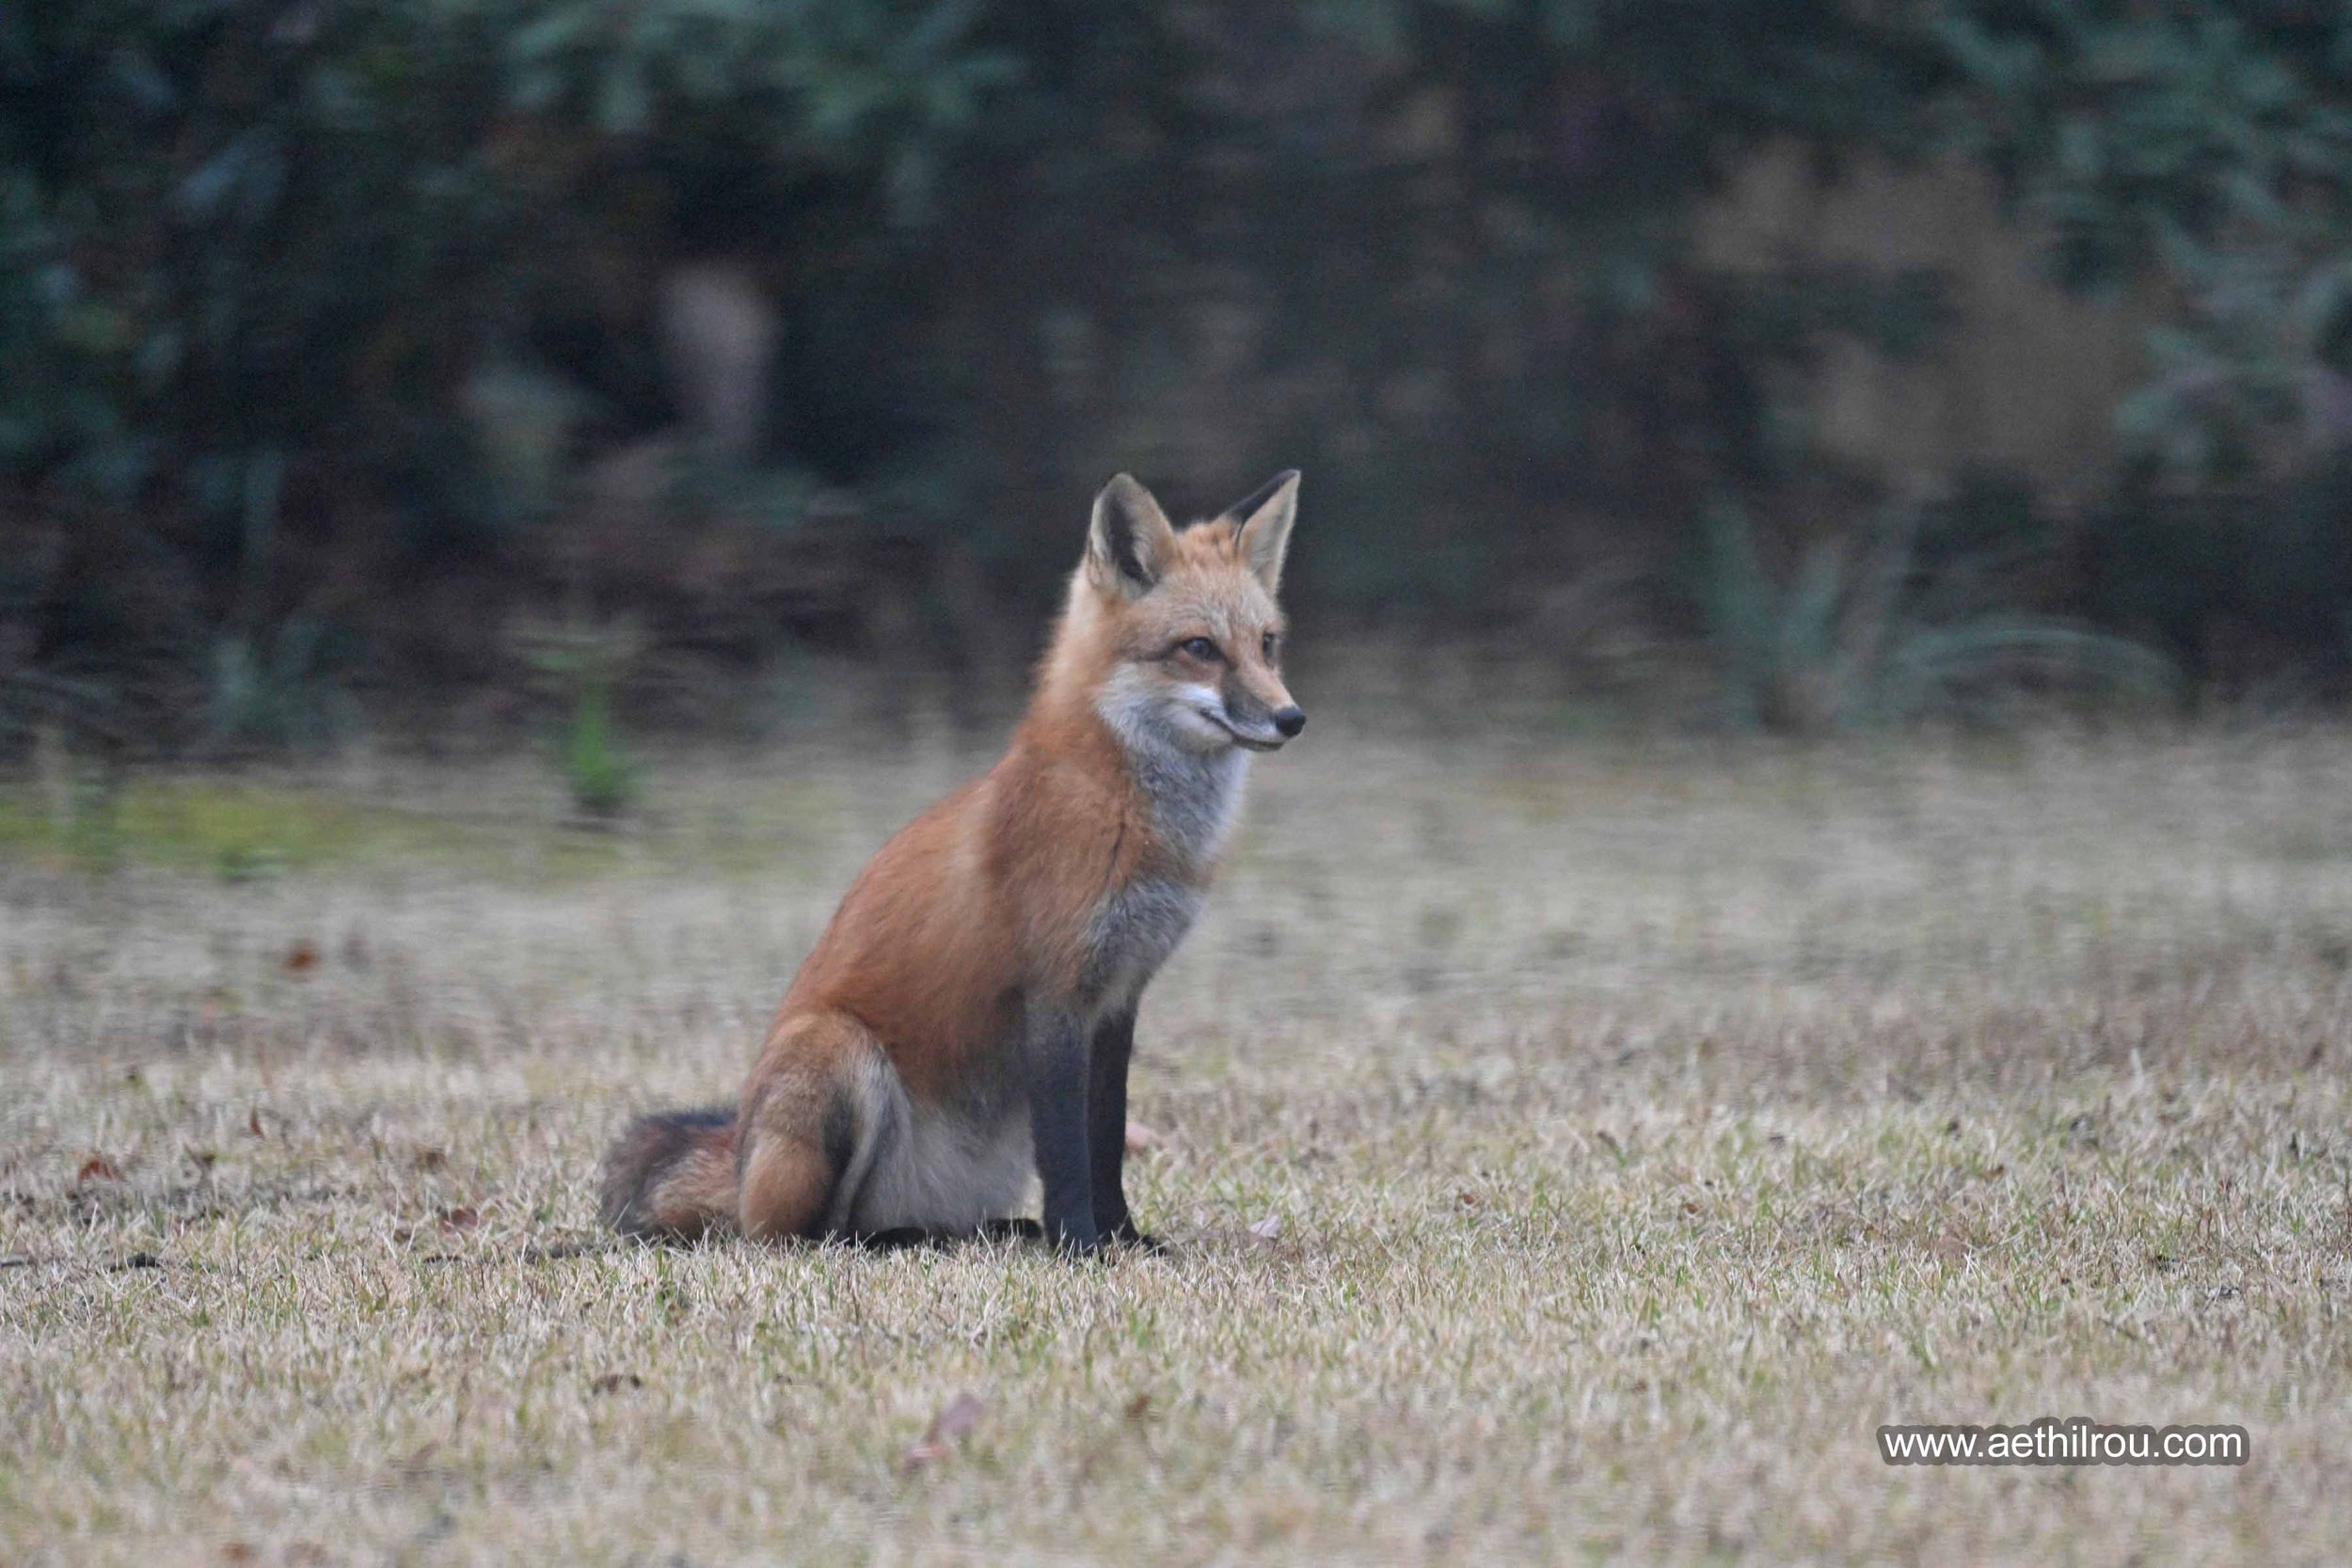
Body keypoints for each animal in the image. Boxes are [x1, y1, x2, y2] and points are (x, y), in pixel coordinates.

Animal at [599, 469, 1305, 1255]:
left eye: (1267, 643)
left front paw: (1122, 1236)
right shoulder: (1055, 994)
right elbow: (1068, 1148)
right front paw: (1080, 1246)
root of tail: (742, 1168)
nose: (1291, 717)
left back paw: (981, 1231)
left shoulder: (1119, 996)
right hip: (842, 1057)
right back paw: (907, 1242)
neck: (1123, 813)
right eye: (1200, 647)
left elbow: (1106, 1136)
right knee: (812, 1233)